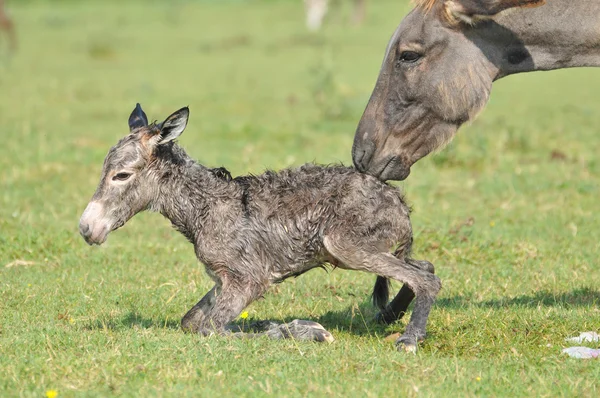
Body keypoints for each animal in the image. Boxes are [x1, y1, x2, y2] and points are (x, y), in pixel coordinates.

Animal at [78, 105, 440, 352]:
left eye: (122, 175)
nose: (86, 228)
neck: (205, 207)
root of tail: (399, 202)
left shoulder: (249, 279)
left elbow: (211, 328)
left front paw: (307, 331)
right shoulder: (223, 279)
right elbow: (192, 321)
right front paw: (298, 327)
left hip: (345, 245)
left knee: (426, 279)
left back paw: (409, 339)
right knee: (424, 267)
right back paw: (390, 317)